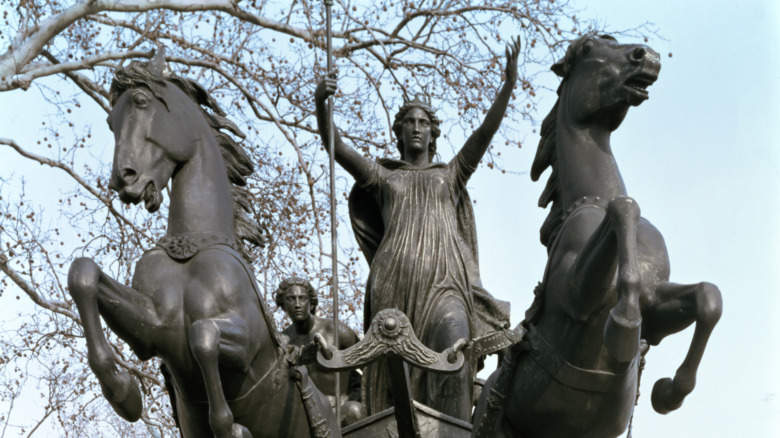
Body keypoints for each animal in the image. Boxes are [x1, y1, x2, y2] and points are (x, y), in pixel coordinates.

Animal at [65, 54, 336, 438]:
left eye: (141, 102)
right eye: (110, 121)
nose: (123, 179)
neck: (191, 249)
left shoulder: (248, 342)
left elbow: (202, 335)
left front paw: (229, 428)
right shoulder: (154, 329)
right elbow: (83, 274)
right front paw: (124, 393)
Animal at [476, 35, 724, 438]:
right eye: (590, 48)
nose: (647, 56)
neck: (592, 198)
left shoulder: (657, 309)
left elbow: (708, 297)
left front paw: (669, 392)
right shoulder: (574, 293)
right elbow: (625, 206)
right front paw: (622, 328)